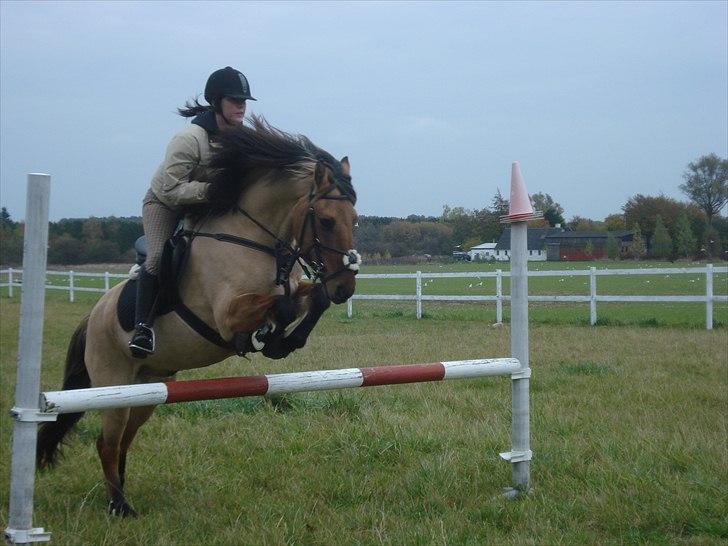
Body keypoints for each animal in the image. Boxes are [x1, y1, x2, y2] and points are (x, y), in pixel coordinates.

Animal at [35, 116, 360, 516]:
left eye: (354, 220)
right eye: (327, 221)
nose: (345, 287)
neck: (254, 239)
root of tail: (92, 317)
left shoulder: (294, 289)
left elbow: (311, 298)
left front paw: (284, 340)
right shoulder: (227, 315)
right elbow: (276, 304)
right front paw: (266, 336)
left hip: (150, 388)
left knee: (124, 439)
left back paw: (121, 491)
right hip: (114, 384)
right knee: (107, 443)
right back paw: (119, 506)